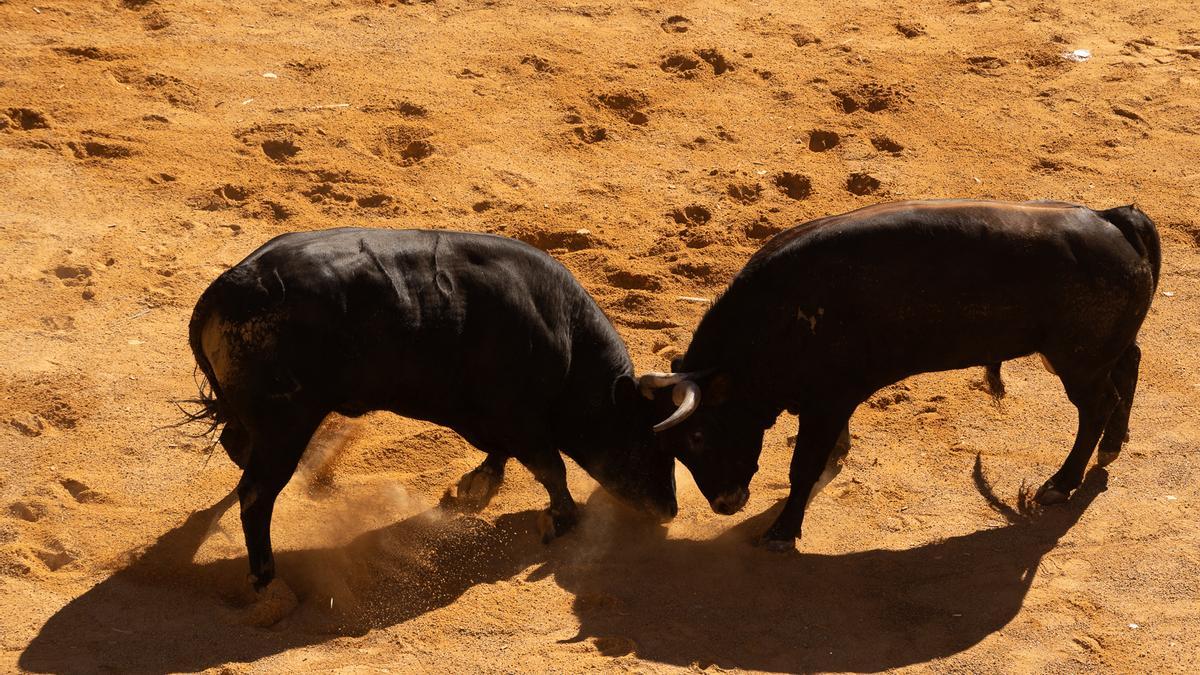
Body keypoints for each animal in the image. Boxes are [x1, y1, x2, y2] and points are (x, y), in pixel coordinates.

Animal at [186, 228, 676, 586]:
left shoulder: (491, 418)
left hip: (263, 423)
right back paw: (266, 579)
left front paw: (474, 488)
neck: (567, 339)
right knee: (256, 494)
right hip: (285, 425)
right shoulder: (521, 420)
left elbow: (501, 455)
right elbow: (551, 468)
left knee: (237, 449)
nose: (668, 510)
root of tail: (228, 287)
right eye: (644, 443)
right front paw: (563, 518)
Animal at [648, 196, 1161, 550]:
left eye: (698, 436)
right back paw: (1114, 444)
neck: (779, 316)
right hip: (1097, 353)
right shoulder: (828, 403)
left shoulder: (827, 400)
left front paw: (781, 532)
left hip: (1078, 362)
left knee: (1097, 406)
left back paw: (1061, 484)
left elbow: (803, 465)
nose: (725, 503)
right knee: (1129, 365)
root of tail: (1112, 218)